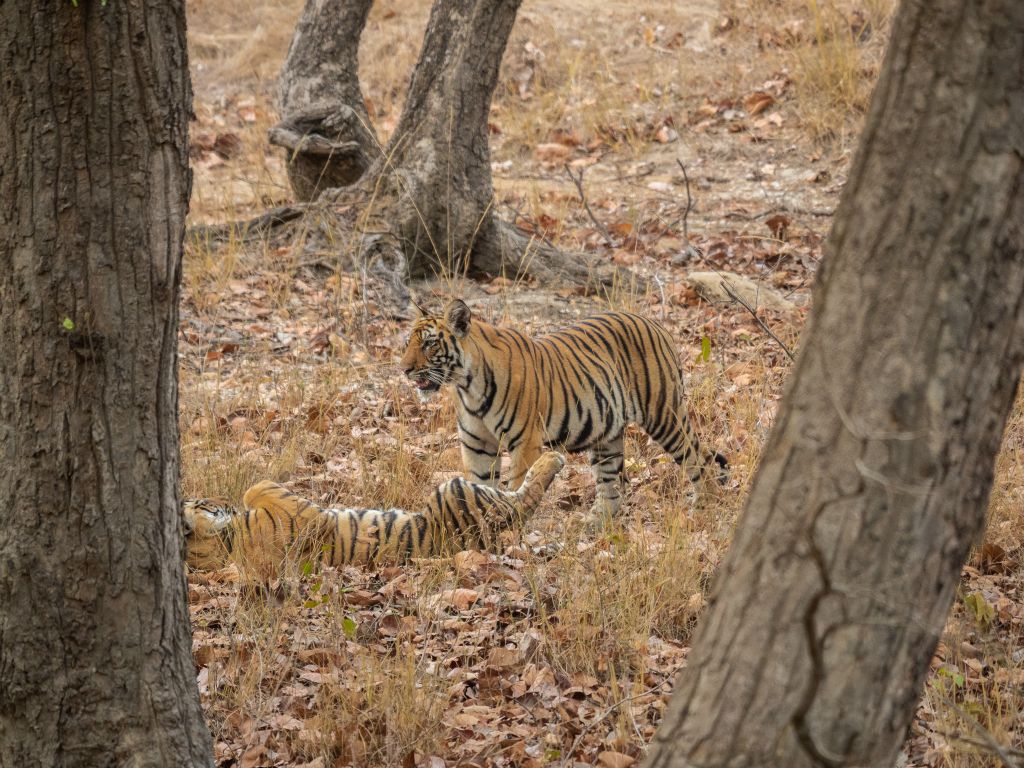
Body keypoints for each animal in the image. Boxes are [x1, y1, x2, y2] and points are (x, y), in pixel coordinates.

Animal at [185, 450, 569, 577]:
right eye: (202, 501)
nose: (220, 499)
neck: (228, 544)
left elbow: (254, 487)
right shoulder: (308, 515)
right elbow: (257, 487)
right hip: (458, 490)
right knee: (524, 498)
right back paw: (554, 458)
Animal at [399, 301, 729, 524]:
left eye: (429, 344)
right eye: (408, 343)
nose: (404, 369)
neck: (467, 386)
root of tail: (656, 324)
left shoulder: (525, 442)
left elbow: (517, 486)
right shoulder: (476, 444)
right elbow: (480, 484)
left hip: (664, 414)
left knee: (698, 458)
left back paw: (704, 506)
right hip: (606, 432)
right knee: (611, 483)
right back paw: (595, 523)